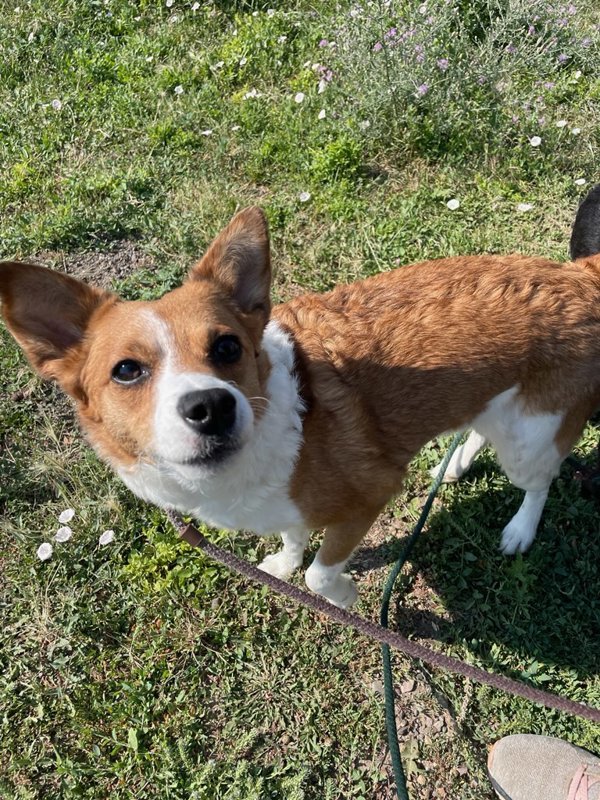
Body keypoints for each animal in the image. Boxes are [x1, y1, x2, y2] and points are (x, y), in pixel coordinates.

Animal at [1, 192, 600, 608]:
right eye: (126, 370)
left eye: (227, 346)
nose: (211, 407)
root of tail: (580, 276)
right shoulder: (290, 506)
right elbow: (293, 540)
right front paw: (283, 564)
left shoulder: (370, 497)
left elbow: (320, 570)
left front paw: (342, 597)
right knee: (483, 428)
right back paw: (457, 463)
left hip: (531, 441)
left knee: (541, 482)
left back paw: (520, 529)